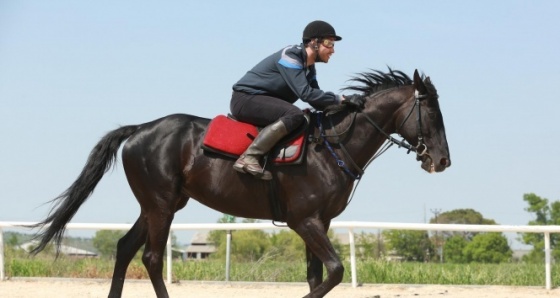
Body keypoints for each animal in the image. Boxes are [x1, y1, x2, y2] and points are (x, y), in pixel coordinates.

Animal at [30, 68, 450, 296]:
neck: (333, 144)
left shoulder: (322, 221)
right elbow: (333, 272)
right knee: (150, 257)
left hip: (158, 204)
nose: (442, 160)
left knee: (124, 248)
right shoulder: (304, 221)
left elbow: (318, 276)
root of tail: (140, 129)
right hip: (161, 206)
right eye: (431, 112)